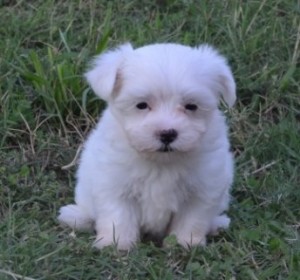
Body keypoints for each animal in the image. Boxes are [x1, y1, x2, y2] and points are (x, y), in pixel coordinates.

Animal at [58, 42, 237, 250]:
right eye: (142, 105)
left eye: (191, 106)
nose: (167, 133)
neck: (161, 161)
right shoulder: (114, 183)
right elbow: (118, 215)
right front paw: (116, 244)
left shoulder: (203, 187)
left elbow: (192, 218)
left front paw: (186, 243)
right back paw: (75, 216)